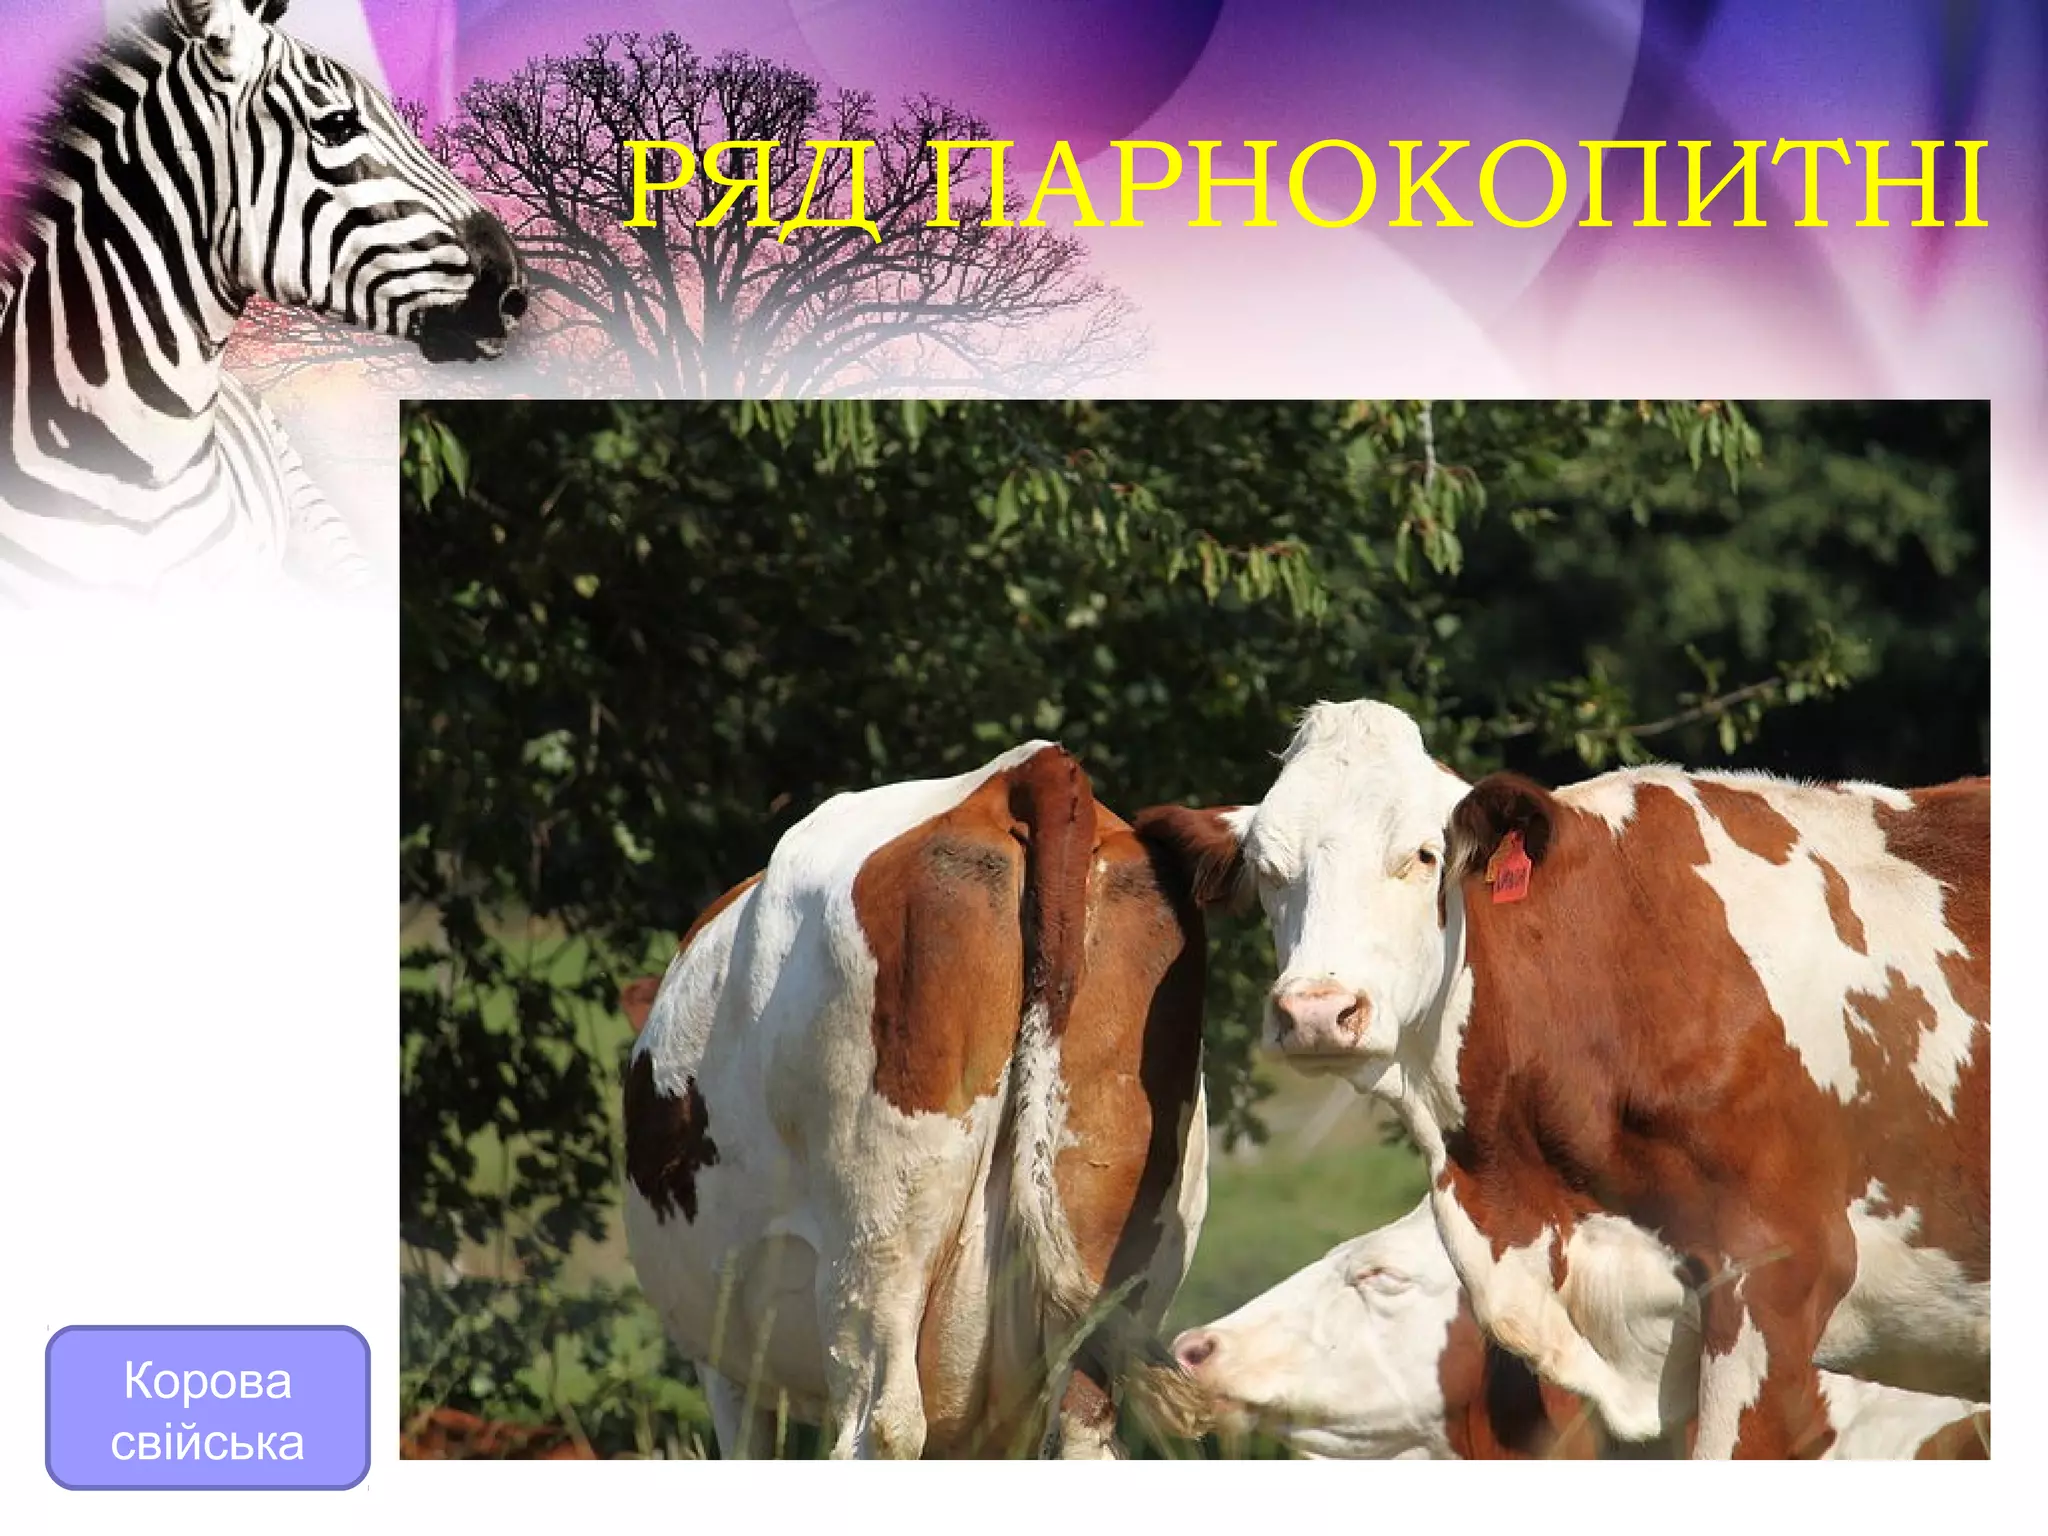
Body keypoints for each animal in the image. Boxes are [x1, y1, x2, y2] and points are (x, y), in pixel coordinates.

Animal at [621, 740, 1213, 1459]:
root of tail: (1027, 768)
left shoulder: (727, 1369)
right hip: (1119, 1254)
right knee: (1083, 1425)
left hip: (875, 1246)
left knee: (882, 1422)